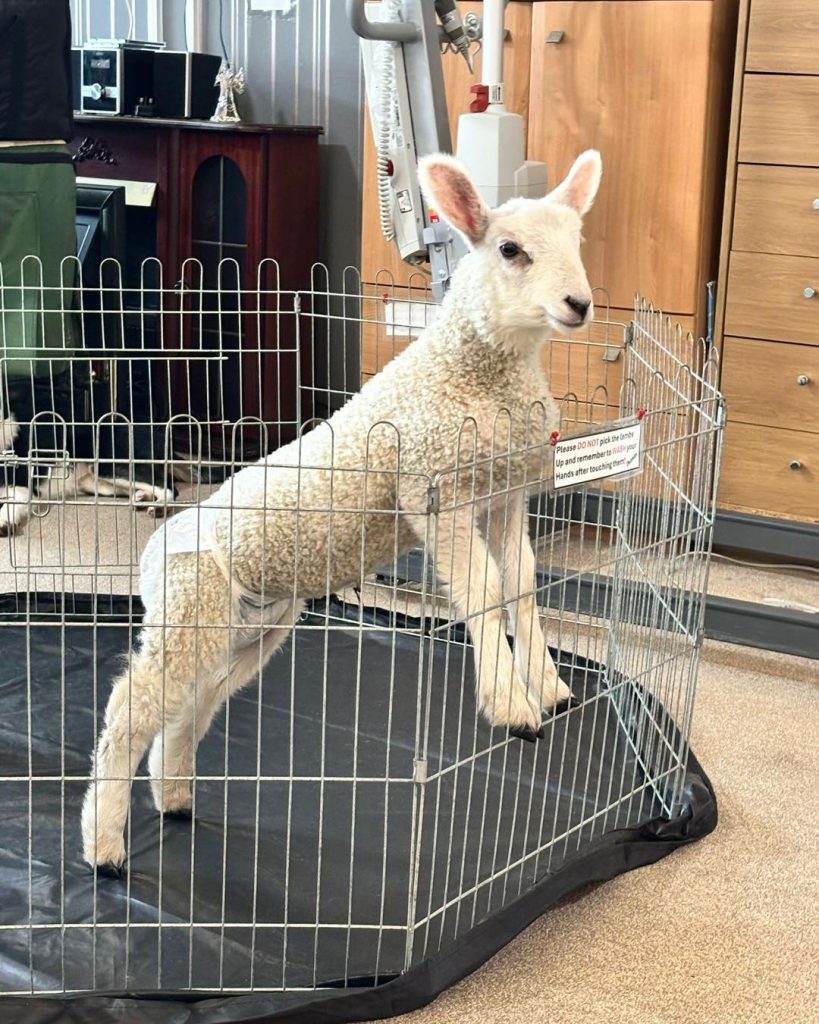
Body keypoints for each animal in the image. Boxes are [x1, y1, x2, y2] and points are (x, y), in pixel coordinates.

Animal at [81, 149, 602, 871]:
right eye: (509, 250)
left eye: (577, 241)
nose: (578, 304)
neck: (473, 371)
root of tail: (154, 553)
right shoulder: (433, 490)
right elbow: (482, 592)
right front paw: (511, 705)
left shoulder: (503, 495)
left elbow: (521, 587)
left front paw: (549, 688)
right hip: (188, 608)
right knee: (129, 709)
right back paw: (104, 844)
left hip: (246, 629)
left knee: (186, 708)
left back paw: (174, 797)